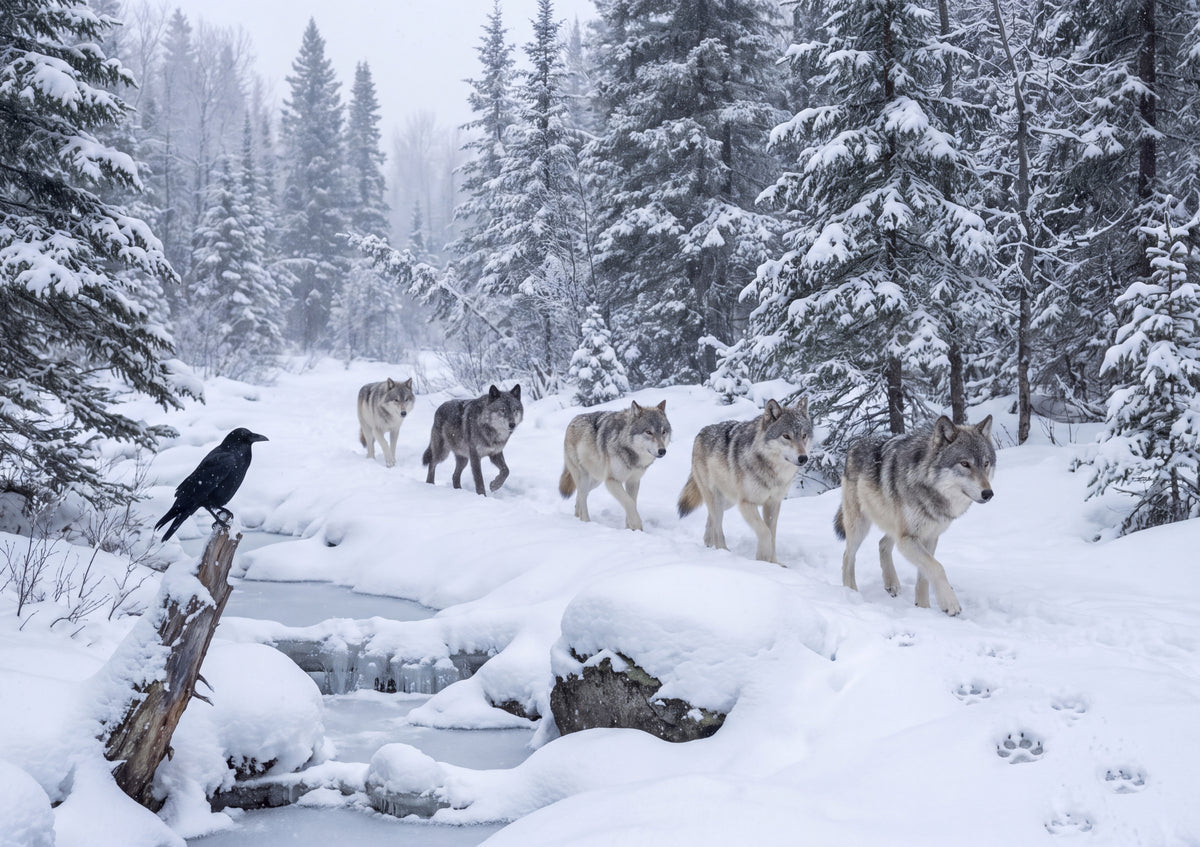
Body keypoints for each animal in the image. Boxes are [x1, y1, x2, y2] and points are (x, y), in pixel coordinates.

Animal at [559, 400, 672, 531]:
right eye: (648, 432)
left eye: (663, 432)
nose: (662, 451)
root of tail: (572, 420)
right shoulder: (612, 481)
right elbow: (629, 503)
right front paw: (637, 526)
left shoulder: (633, 481)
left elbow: (632, 503)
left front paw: (630, 529)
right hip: (585, 478)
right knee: (582, 497)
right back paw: (586, 522)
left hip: (596, 481)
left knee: (580, 496)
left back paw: (577, 515)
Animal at [677, 399, 812, 563]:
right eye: (786, 436)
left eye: (804, 435)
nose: (803, 458)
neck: (772, 471)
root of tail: (700, 432)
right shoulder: (746, 503)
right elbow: (765, 532)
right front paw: (762, 558)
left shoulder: (773, 503)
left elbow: (772, 535)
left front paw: (774, 563)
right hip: (718, 499)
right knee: (717, 525)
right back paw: (723, 551)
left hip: (728, 501)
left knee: (711, 519)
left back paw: (709, 543)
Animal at [835, 415, 995, 616]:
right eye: (965, 464)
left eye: (986, 463)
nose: (988, 493)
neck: (927, 484)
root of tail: (856, 443)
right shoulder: (908, 539)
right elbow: (937, 567)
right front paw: (950, 603)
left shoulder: (930, 536)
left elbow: (925, 574)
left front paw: (923, 607)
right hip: (860, 526)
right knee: (847, 556)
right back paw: (851, 591)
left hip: (893, 526)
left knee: (882, 543)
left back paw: (891, 583)